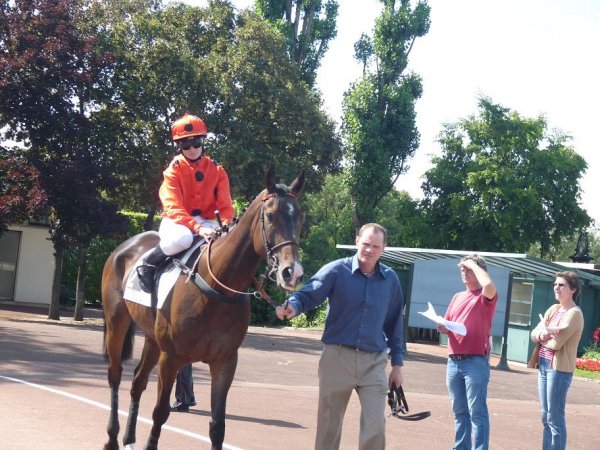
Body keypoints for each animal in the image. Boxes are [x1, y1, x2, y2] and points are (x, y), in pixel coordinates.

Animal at [101, 166, 304, 450]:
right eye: (271, 216)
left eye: (301, 217)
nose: (291, 272)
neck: (217, 285)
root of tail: (124, 248)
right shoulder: (171, 358)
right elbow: (160, 413)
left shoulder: (225, 361)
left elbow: (217, 425)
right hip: (116, 324)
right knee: (115, 375)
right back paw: (112, 437)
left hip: (152, 339)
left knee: (137, 382)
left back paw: (129, 438)